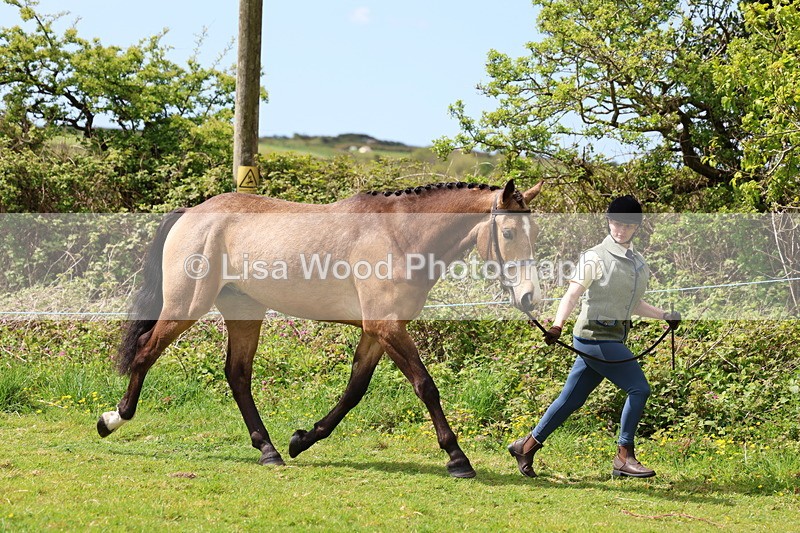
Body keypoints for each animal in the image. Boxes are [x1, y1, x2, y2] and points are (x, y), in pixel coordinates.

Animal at [97, 179, 543, 478]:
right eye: (507, 232)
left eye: (533, 234)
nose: (529, 298)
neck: (401, 235)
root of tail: (192, 214)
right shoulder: (387, 328)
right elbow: (425, 386)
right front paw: (457, 458)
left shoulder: (377, 332)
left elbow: (354, 391)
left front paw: (302, 439)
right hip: (186, 307)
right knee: (145, 350)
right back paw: (113, 419)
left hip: (244, 311)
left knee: (237, 375)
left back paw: (269, 450)